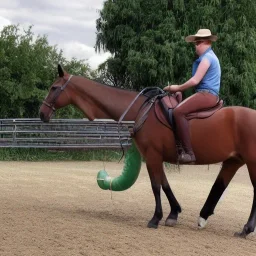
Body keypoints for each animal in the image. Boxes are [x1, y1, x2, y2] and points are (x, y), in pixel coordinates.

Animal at [39, 65, 256, 238]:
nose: (42, 113)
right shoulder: (156, 157)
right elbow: (165, 184)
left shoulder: (151, 155)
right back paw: (204, 217)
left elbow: (155, 186)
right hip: (233, 161)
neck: (140, 110)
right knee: (219, 186)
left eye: (54, 88)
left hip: (251, 162)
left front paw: (155, 218)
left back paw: (246, 229)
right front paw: (173, 214)